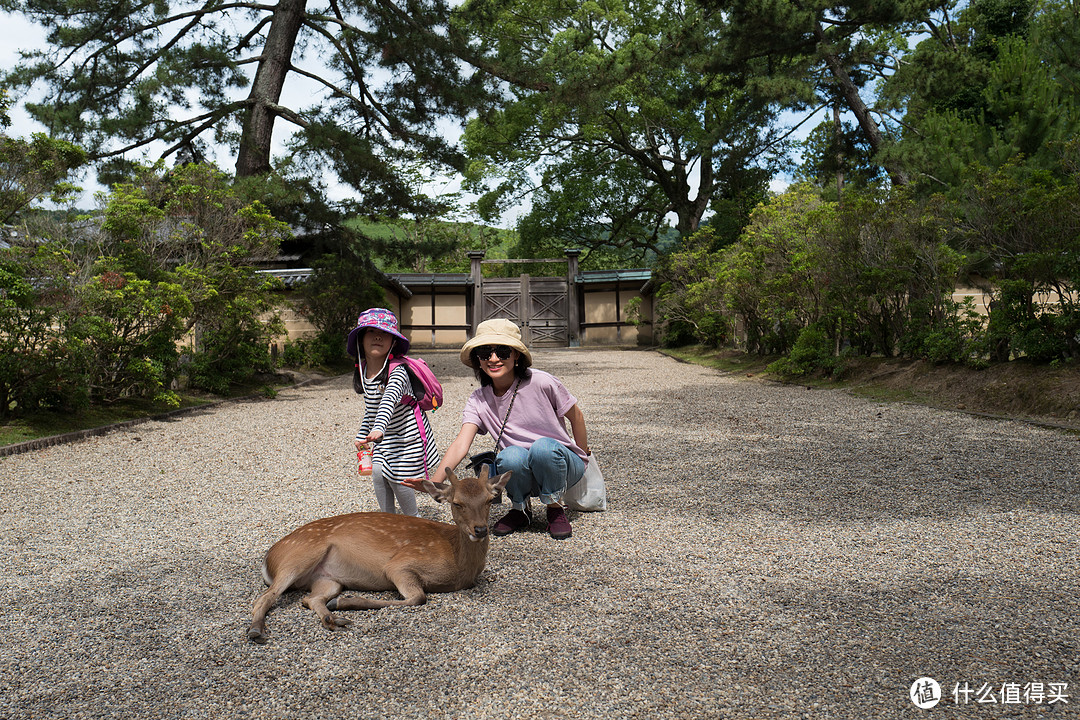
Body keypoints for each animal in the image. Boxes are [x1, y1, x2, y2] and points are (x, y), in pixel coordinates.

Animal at [247, 470, 511, 643]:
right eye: (457, 503)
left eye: (490, 499)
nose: (480, 529)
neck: (459, 565)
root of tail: (269, 559)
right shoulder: (400, 564)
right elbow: (419, 598)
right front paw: (348, 602)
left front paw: (342, 605)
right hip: (300, 555)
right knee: (265, 597)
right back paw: (256, 631)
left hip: (327, 579)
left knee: (310, 599)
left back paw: (334, 618)